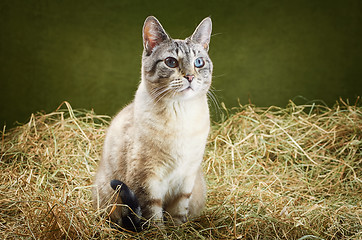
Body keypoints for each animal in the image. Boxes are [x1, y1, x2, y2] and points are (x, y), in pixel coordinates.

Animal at [92, 15, 214, 232]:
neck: (181, 115)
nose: (190, 76)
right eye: (171, 62)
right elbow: (153, 215)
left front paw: (178, 232)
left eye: (199, 62)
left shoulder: (186, 176)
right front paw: (160, 233)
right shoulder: (147, 178)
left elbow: (178, 213)